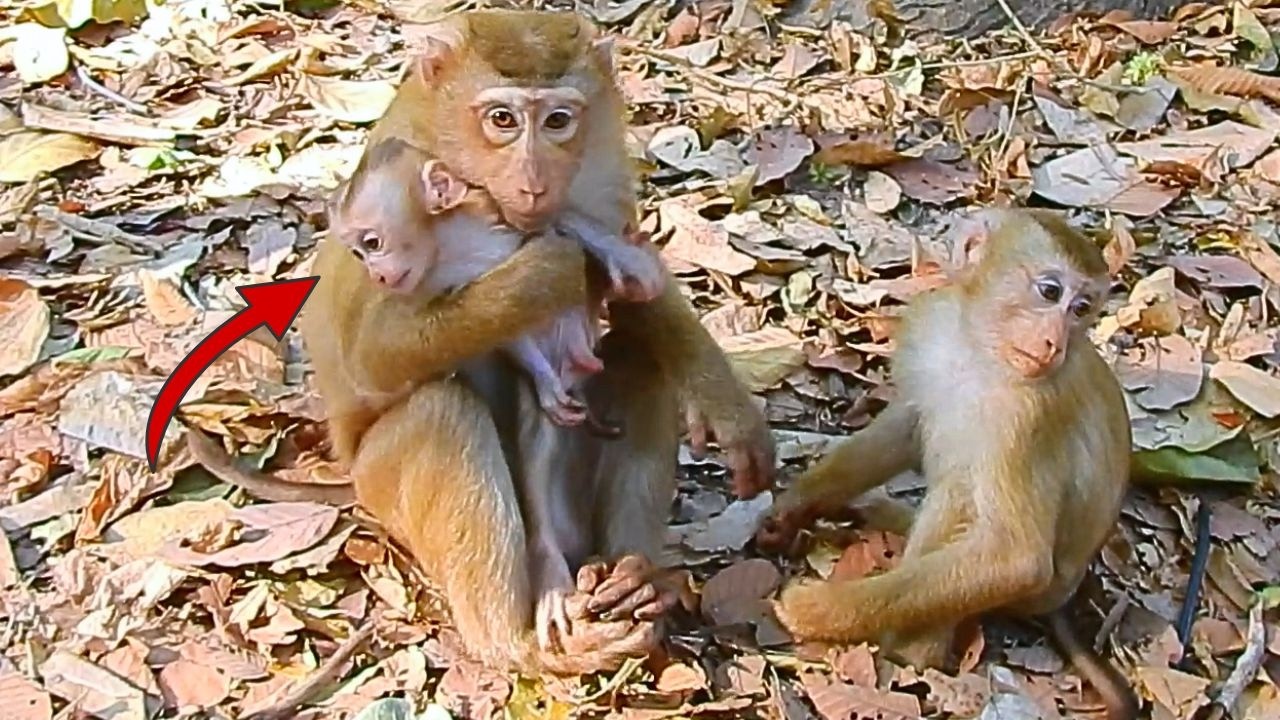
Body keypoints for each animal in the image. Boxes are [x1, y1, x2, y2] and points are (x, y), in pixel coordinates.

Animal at [757, 210, 1139, 720]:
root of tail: (1065, 597)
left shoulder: (1025, 419)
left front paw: (818, 610)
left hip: (1035, 591)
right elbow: (905, 426)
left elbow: (1016, 557)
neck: (978, 351)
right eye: (1050, 292)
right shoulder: (928, 327)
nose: (1054, 343)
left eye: (1082, 309)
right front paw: (796, 506)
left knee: (960, 493)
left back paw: (915, 654)